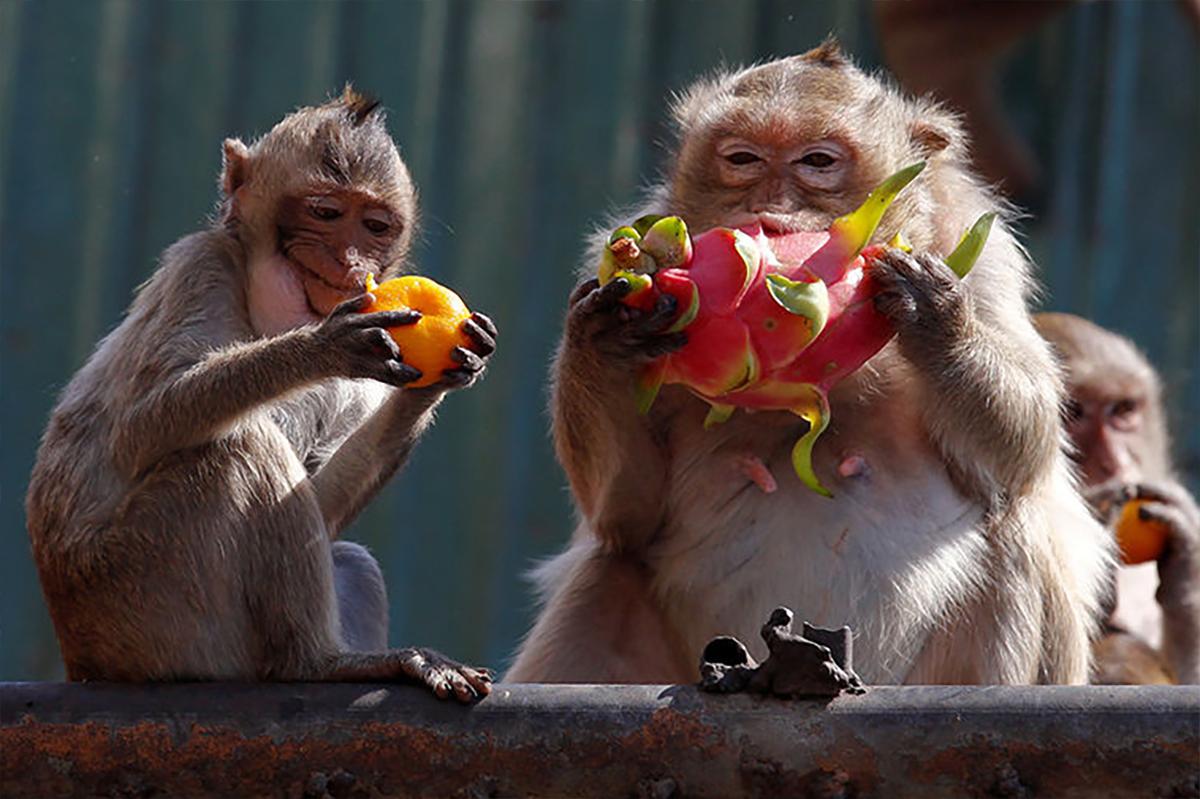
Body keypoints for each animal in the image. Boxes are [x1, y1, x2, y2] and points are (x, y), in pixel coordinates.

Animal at [27, 86, 496, 695]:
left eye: (374, 225)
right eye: (325, 213)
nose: (351, 262)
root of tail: (83, 660)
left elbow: (322, 507)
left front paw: (437, 379)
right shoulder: (200, 266)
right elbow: (140, 426)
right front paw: (320, 348)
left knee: (348, 558)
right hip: (145, 604)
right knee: (236, 447)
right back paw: (316, 663)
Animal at [504, 40, 1104, 681]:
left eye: (817, 162)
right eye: (742, 159)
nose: (768, 213)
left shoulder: (983, 254)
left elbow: (1024, 448)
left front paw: (934, 316)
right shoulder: (620, 250)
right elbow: (625, 514)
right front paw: (603, 337)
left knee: (1018, 529)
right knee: (608, 569)